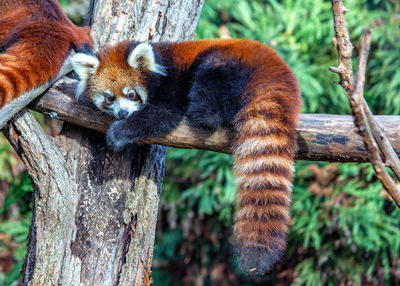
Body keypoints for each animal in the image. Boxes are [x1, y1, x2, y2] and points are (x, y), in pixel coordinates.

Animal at [72, 38, 302, 274]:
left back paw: (202, 113)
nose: (122, 114)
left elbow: (161, 115)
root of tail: (276, 69)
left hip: (224, 64)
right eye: (109, 98)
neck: (160, 61)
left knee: (209, 103)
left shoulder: (172, 84)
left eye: (131, 94)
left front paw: (117, 134)